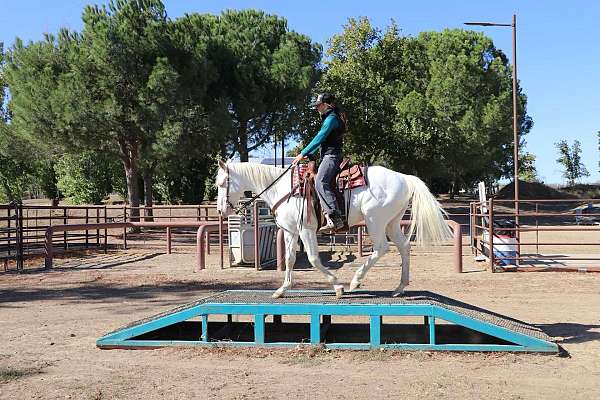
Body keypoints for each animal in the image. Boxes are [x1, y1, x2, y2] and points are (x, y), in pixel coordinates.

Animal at [213, 159, 452, 296]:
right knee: (404, 247)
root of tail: (405, 178)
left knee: (381, 248)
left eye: (222, 183)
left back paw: (356, 281)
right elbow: (290, 259)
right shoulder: (291, 232)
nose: (220, 210)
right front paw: (282, 289)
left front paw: (337, 286)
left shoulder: (306, 230)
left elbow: (313, 258)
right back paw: (399, 288)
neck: (283, 188)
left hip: (375, 220)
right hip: (392, 223)